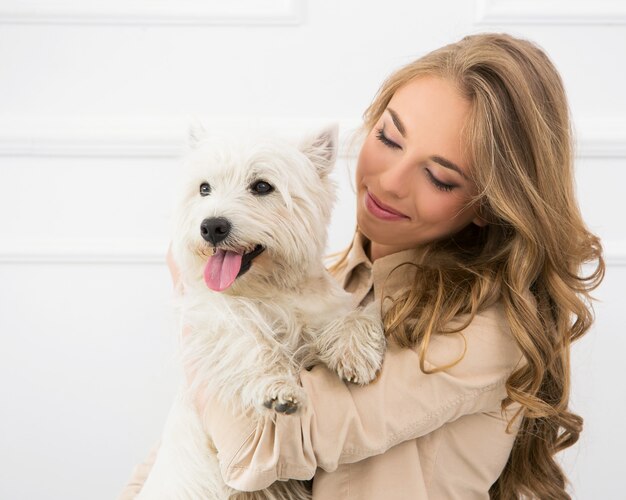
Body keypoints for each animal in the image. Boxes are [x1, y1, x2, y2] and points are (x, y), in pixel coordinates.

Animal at [138, 122, 386, 500]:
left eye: (262, 186)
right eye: (204, 188)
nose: (212, 226)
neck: (268, 290)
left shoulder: (323, 310)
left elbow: (354, 315)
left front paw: (354, 354)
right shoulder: (215, 320)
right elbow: (251, 342)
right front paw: (279, 391)